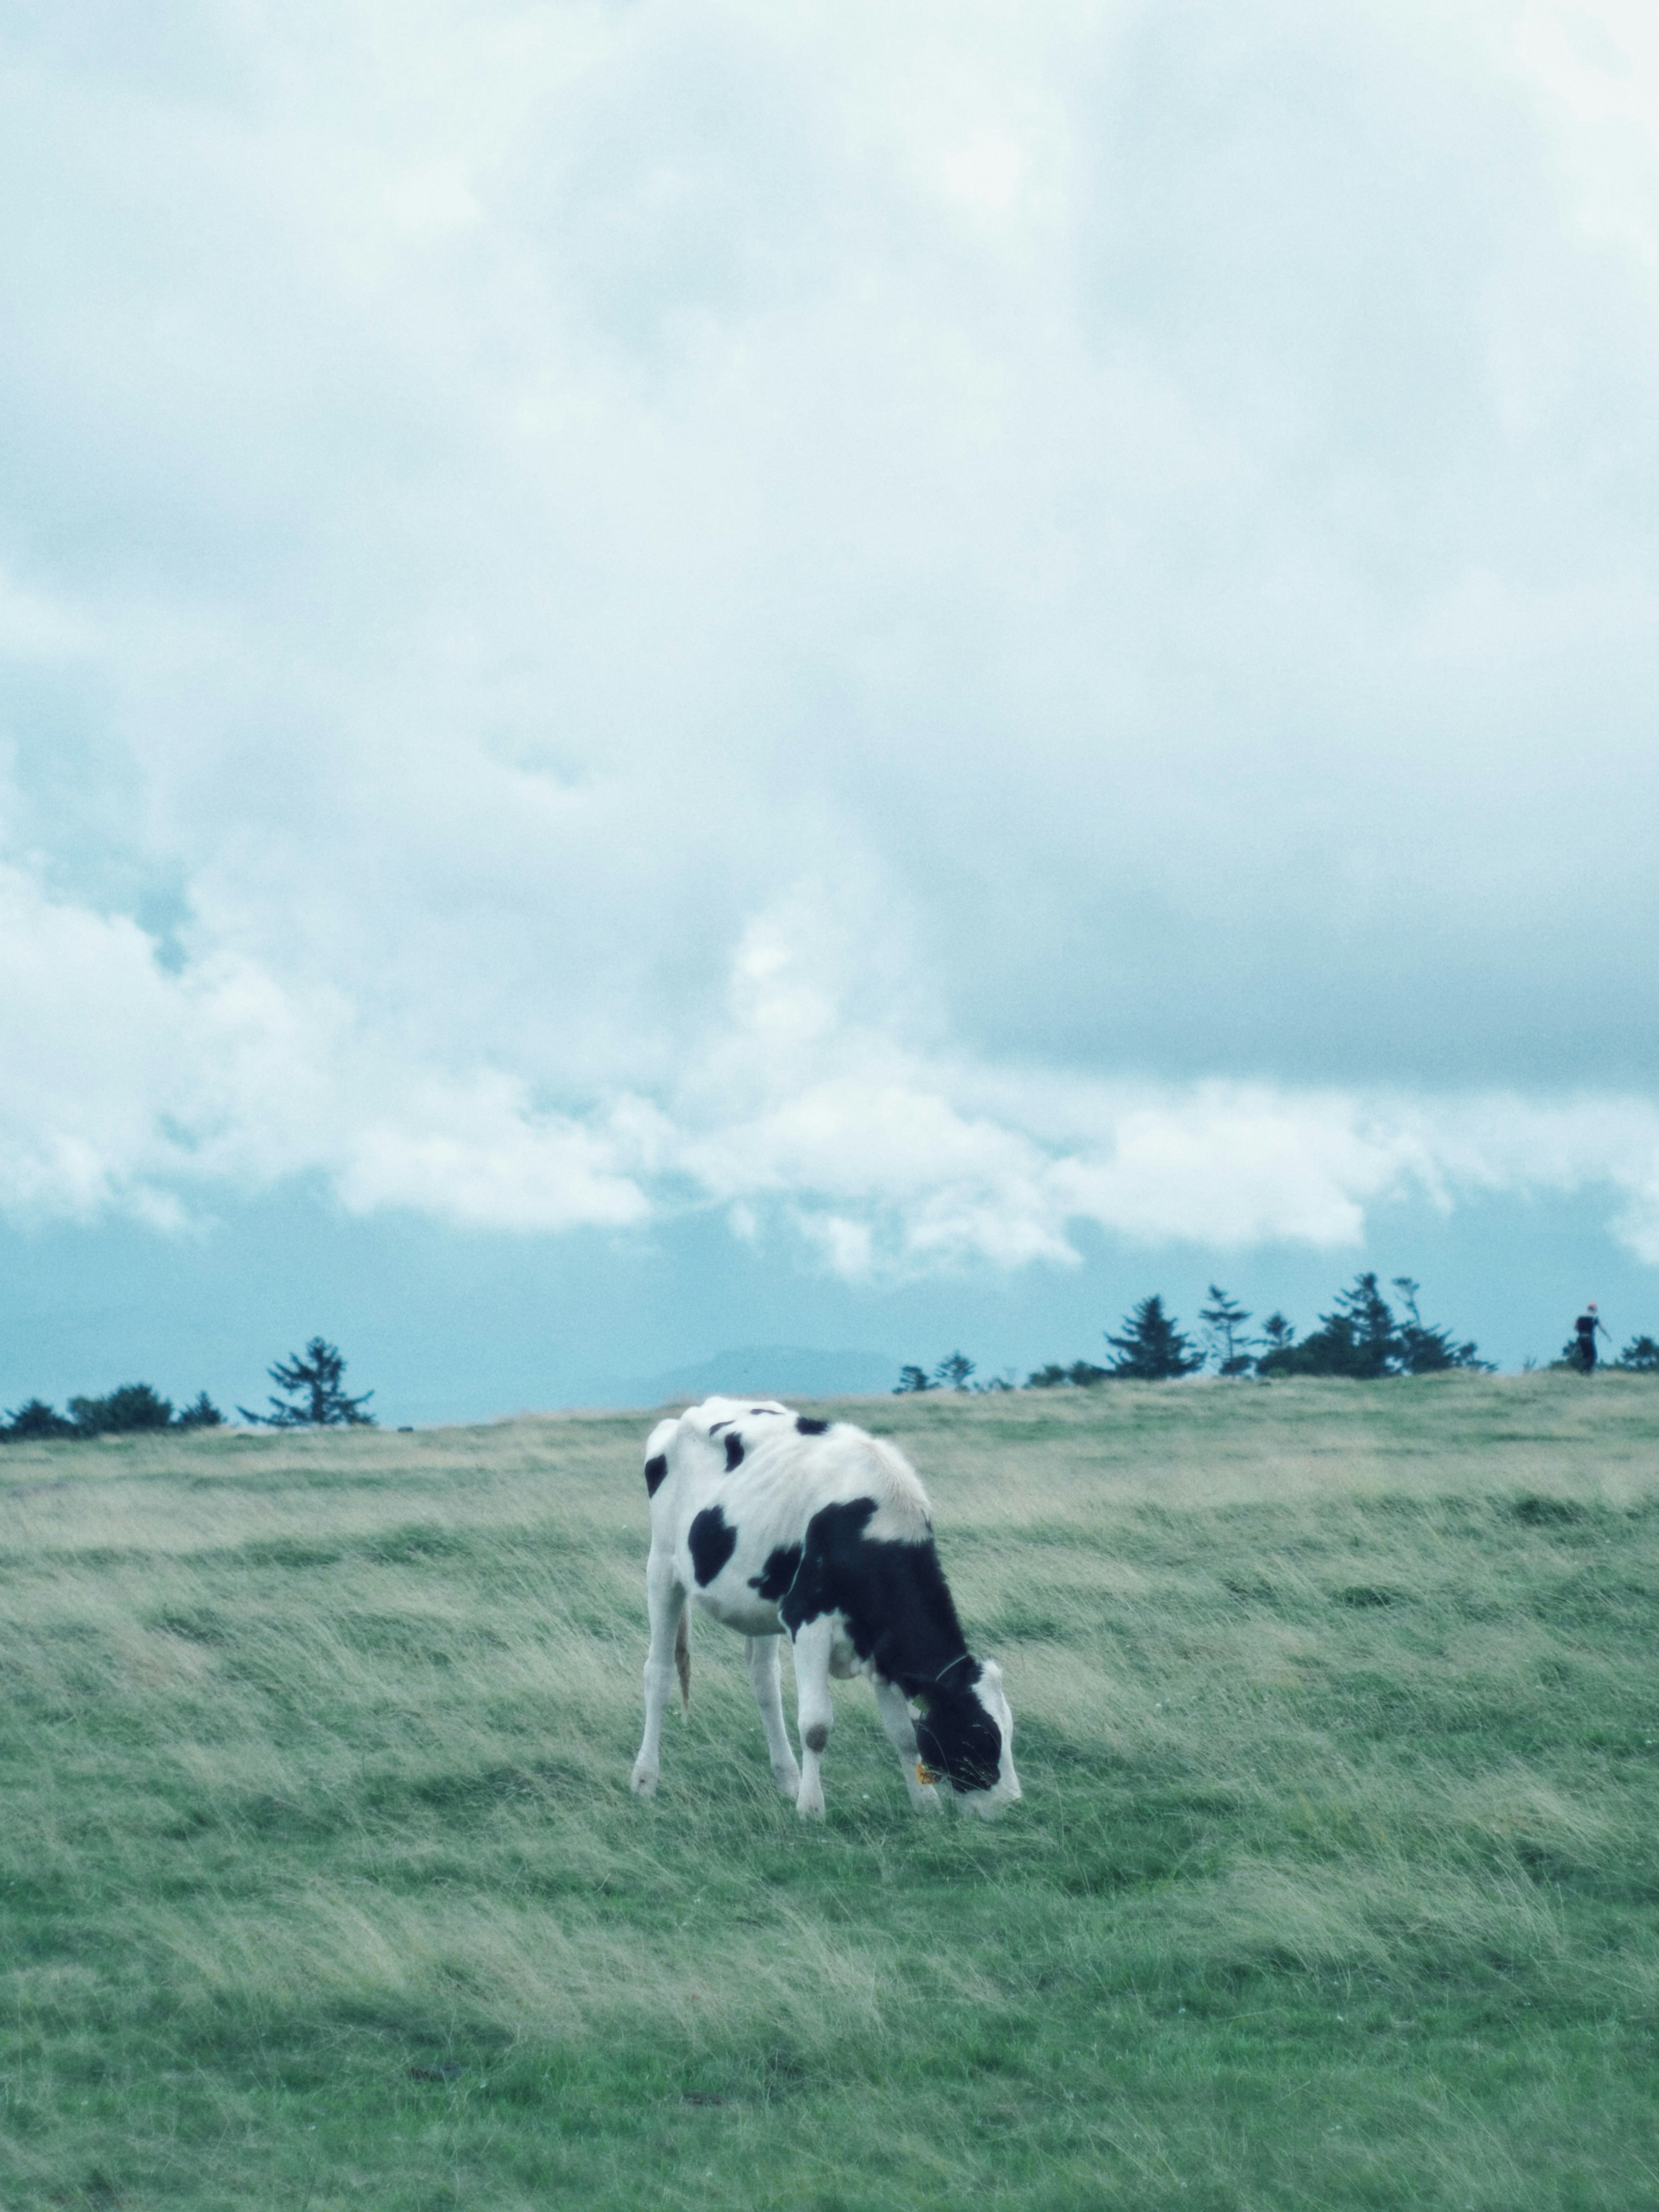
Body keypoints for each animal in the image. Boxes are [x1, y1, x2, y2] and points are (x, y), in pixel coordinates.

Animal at [628, 1389, 1022, 1822]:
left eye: (1009, 1731)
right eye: (980, 1735)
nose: (1012, 1804)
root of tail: (697, 1409)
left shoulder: (880, 1644)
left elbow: (904, 1734)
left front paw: (925, 1805)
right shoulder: (809, 1619)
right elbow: (816, 1726)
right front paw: (811, 1810)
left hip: (759, 1605)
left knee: (764, 1682)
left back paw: (788, 1778)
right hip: (663, 1569)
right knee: (659, 1673)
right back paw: (645, 1779)